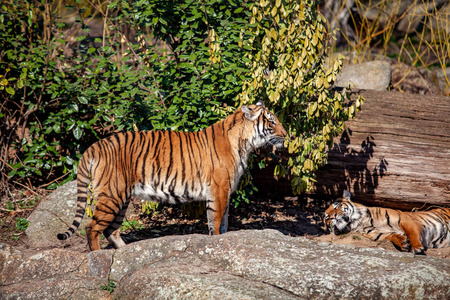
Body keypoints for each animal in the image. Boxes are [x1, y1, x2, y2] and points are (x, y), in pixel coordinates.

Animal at [57, 101, 288, 251]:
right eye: (271, 122)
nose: (286, 135)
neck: (244, 143)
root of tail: (95, 146)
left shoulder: (225, 192)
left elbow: (223, 223)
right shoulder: (219, 190)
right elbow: (216, 223)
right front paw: (216, 242)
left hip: (121, 198)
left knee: (111, 231)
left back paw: (124, 254)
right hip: (111, 195)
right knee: (92, 228)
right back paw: (98, 257)